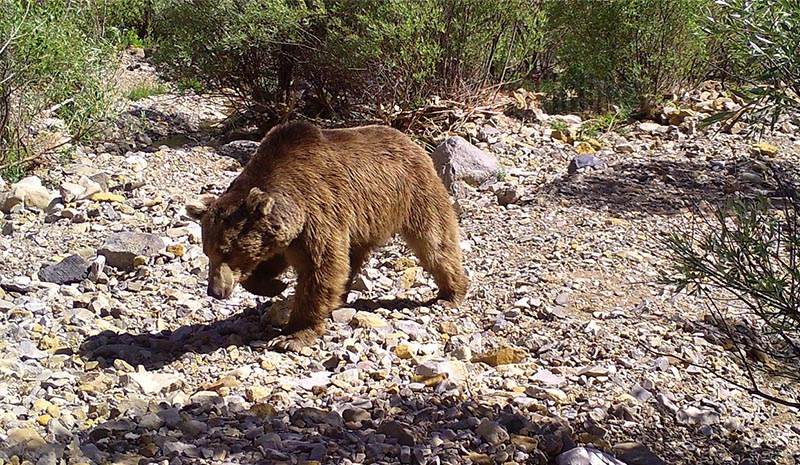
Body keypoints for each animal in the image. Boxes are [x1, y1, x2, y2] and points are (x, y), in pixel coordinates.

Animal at [187, 121, 468, 350]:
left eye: (227, 251)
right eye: (207, 251)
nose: (215, 291)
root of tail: (412, 143)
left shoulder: (317, 213)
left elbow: (321, 268)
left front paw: (292, 335)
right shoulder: (286, 234)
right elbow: (272, 261)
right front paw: (274, 285)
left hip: (414, 194)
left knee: (434, 242)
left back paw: (451, 294)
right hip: (364, 223)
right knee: (354, 258)